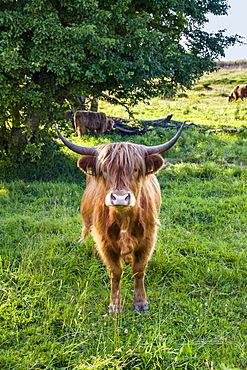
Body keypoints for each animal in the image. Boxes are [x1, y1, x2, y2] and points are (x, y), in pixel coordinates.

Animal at [54, 123, 185, 312]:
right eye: (104, 170)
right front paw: (115, 304)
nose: (120, 197)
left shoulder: (148, 238)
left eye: (136, 169)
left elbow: (139, 269)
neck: (124, 221)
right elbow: (115, 271)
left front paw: (141, 302)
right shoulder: (105, 241)